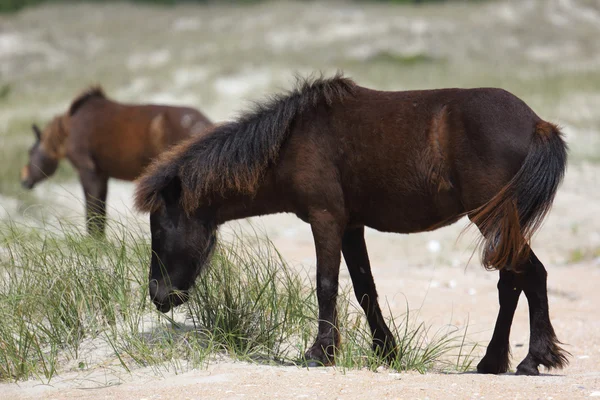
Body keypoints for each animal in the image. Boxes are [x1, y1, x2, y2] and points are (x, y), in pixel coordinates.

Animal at [21, 86, 213, 238]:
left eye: (30, 151)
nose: (24, 181)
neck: (69, 129)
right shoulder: (103, 175)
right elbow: (100, 211)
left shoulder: (89, 172)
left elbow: (92, 210)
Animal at [134, 74, 568, 376]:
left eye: (159, 229)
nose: (158, 295)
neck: (292, 140)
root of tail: (537, 124)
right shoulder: (350, 227)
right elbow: (364, 289)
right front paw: (386, 351)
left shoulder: (325, 220)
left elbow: (326, 284)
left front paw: (320, 353)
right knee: (513, 283)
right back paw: (494, 361)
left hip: (491, 218)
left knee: (530, 276)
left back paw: (532, 359)